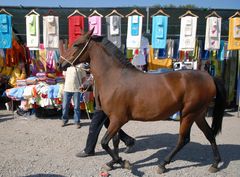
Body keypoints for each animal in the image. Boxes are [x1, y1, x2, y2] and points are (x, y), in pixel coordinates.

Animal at [57, 29, 225, 174]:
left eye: (76, 44)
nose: (60, 64)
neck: (114, 77)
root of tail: (208, 77)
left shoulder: (118, 119)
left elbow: (105, 142)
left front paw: (123, 162)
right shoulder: (114, 119)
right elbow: (115, 141)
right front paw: (112, 162)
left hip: (189, 114)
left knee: (183, 139)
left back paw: (163, 164)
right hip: (198, 114)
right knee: (209, 135)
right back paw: (215, 163)